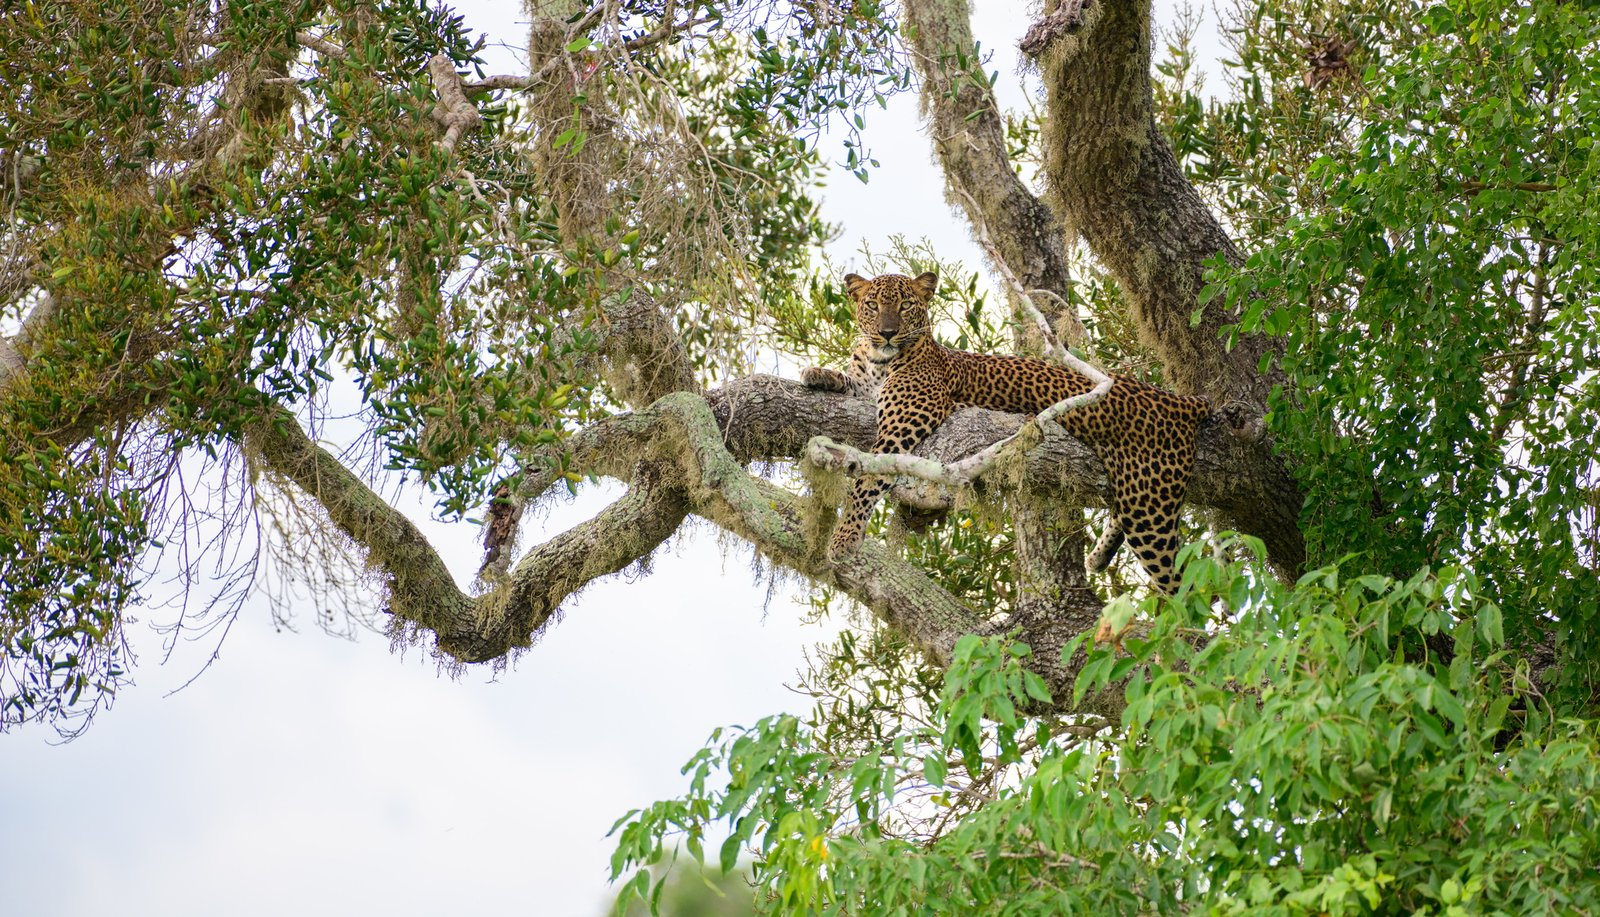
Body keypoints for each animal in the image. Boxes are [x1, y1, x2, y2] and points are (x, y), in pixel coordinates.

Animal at [803, 270, 1212, 593]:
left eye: (905, 305)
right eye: (872, 304)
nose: (887, 333)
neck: (880, 360)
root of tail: (1178, 400)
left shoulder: (903, 423)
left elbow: (867, 480)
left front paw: (844, 537)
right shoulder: (867, 389)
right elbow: (849, 383)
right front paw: (818, 374)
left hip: (1150, 508)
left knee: (1187, 589)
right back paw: (1099, 556)